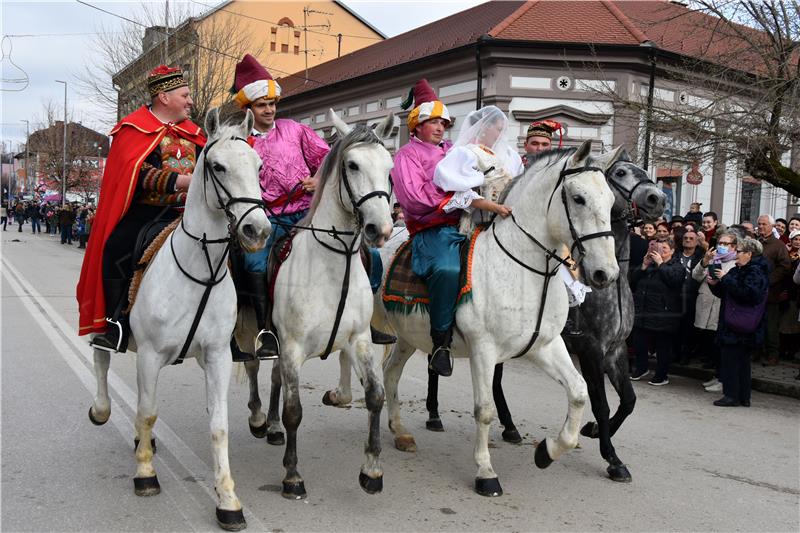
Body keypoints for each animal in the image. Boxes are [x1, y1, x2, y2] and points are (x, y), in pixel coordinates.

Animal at [86, 107, 268, 528]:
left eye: (259, 165)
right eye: (217, 167)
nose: (257, 230)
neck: (199, 266)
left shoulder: (217, 355)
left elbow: (218, 426)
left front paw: (228, 500)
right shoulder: (152, 354)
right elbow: (149, 412)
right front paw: (145, 474)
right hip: (102, 320)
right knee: (101, 359)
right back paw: (103, 411)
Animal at [236, 108, 396, 498]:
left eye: (389, 166)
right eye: (352, 164)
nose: (380, 230)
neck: (331, 266)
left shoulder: (360, 340)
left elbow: (375, 396)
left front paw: (372, 469)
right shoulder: (293, 346)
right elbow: (294, 410)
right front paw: (293, 475)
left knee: (274, 376)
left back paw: (272, 427)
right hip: (251, 331)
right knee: (253, 366)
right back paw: (259, 418)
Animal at [324, 140, 620, 494]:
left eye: (612, 201)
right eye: (578, 198)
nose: (606, 273)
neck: (523, 270)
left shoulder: (545, 346)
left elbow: (578, 392)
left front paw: (548, 451)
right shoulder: (484, 350)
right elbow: (485, 410)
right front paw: (485, 472)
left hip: (409, 336)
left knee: (390, 373)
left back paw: (400, 431)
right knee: (351, 355)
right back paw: (340, 395)